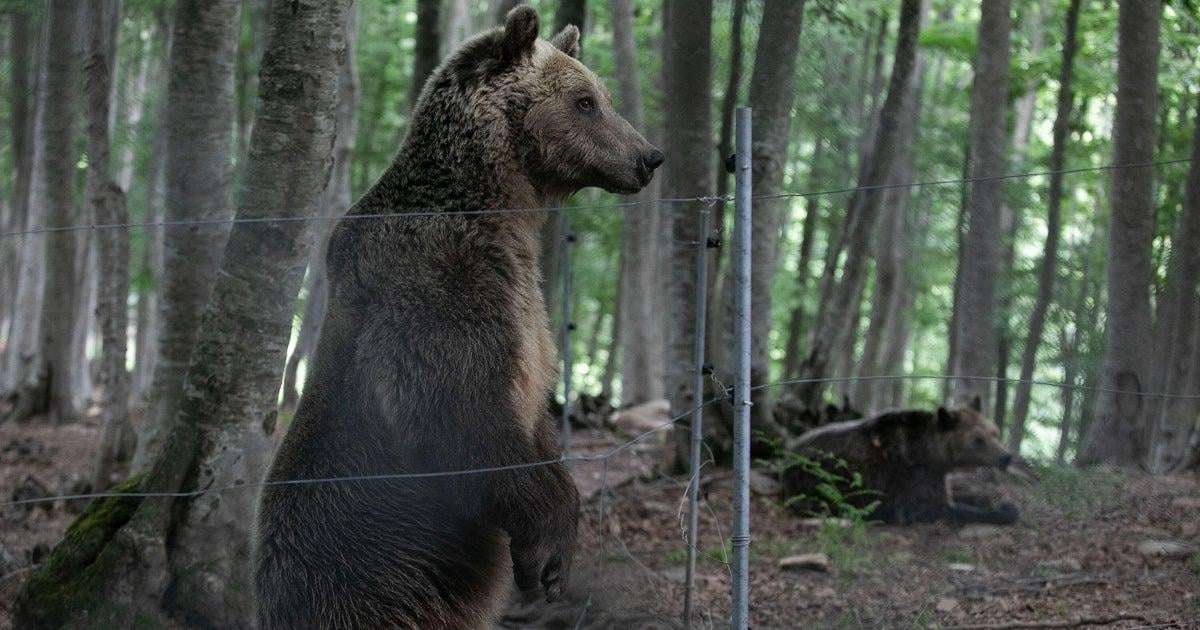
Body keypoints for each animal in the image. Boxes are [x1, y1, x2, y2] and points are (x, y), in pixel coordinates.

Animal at [253, 7, 663, 630]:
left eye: (603, 96)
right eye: (586, 101)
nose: (648, 157)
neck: (495, 205)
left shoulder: (526, 310)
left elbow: (533, 410)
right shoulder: (441, 287)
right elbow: (457, 413)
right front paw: (549, 552)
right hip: (364, 582)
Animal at [778, 397, 1026, 525]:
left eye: (995, 432)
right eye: (977, 440)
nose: (1005, 456)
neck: (932, 455)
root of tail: (788, 453)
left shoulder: (936, 476)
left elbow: (958, 494)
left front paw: (991, 498)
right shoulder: (912, 480)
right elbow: (942, 508)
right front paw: (1005, 510)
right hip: (820, 480)